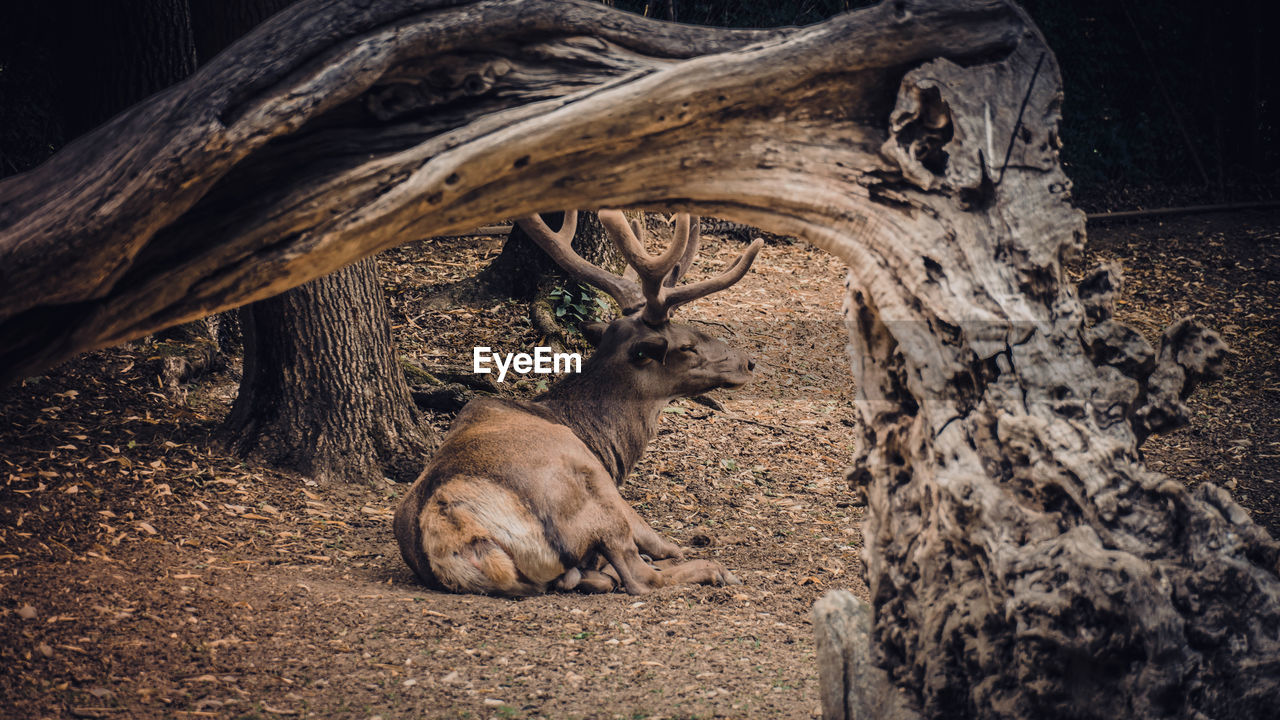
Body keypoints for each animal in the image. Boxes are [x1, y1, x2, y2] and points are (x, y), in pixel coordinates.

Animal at [391, 208, 757, 594]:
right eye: (686, 346)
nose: (748, 362)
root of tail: (454, 530)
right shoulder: (604, 480)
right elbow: (664, 546)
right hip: (592, 497)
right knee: (639, 575)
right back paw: (713, 569)